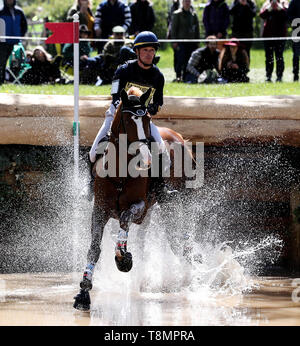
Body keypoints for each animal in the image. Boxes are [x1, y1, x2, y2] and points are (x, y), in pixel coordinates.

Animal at [74, 86, 193, 310]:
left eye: (147, 119)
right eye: (128, 122)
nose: (146, 159)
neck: (120, 172)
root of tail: (178, 135)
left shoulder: (138, 206)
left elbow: (124, 218)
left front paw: (123, 259)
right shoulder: (100, 210)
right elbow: (94, 248)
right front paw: (83, 293)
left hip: (177, 202)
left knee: (180, 239)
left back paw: (189, 278)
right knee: (147, 240)